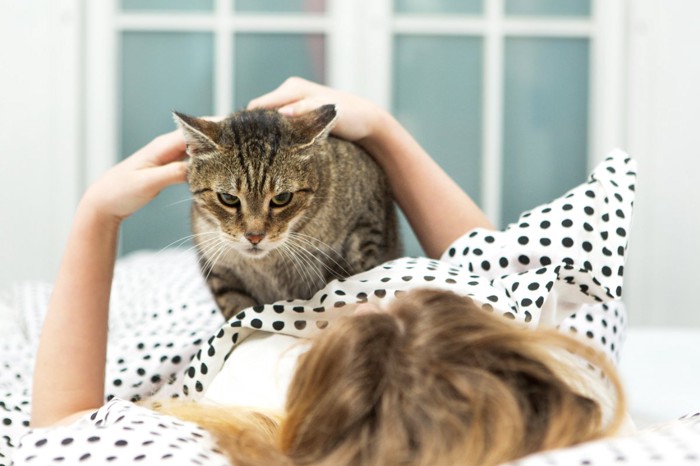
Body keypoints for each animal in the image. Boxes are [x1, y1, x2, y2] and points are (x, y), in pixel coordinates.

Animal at [173, 104, 402, 320]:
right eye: (228, 198)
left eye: (282, 198)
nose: (254, 237)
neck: (267, 263)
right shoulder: (219, 272)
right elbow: (239, 312)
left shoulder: (365, 230)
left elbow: (344, 287)